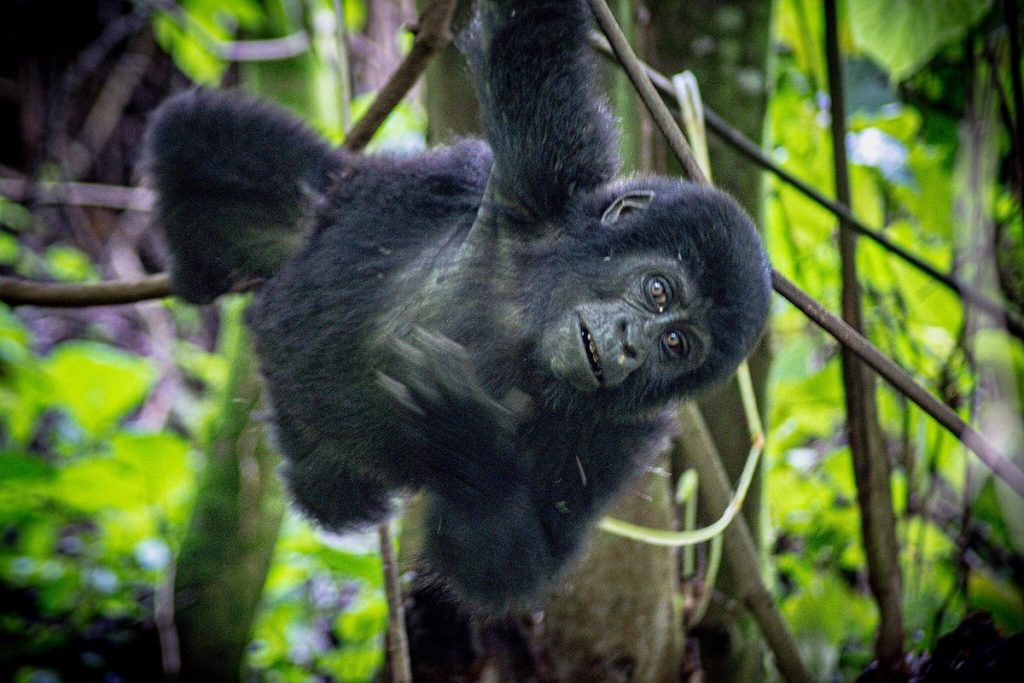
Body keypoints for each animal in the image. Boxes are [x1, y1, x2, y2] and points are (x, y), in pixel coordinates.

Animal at [144, 0, 771, 612]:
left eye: (676, 345)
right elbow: (526, 33)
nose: (630, 343)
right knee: (198, 133)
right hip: (320, 214)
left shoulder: (620, 433)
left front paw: (467, 439)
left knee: (334, 495)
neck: (525, 321)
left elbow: (512, 564)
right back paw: (199, 270)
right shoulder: (543, 175)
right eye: (658, 291)